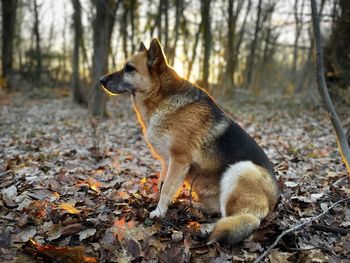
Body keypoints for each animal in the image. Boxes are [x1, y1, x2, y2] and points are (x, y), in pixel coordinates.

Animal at [100, 38, 280, 245]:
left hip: (240, 170)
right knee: (220, 212)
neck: (161, 97)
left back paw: (207, 228)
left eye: (129, 68)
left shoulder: (179, 161)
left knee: (238, 219)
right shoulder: (167, 162)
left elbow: (167, 188)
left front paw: (159, 212)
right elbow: (162, 185)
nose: (101, 80)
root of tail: (273, 202)